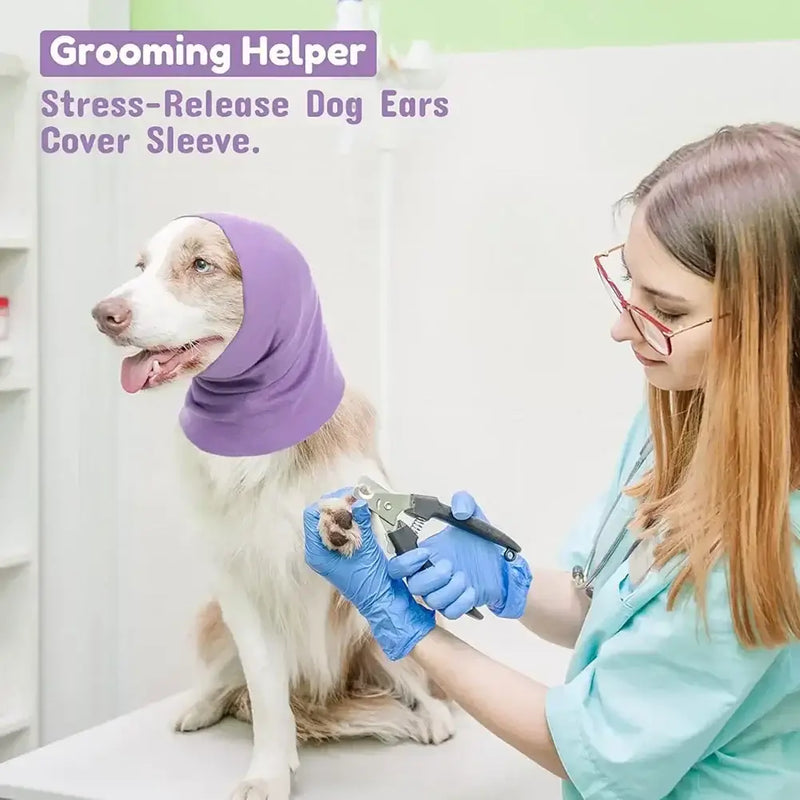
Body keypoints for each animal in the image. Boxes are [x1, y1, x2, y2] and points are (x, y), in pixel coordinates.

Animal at [90, 214, 454, 800]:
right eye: (141, 266)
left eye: (200, 264)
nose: (103, 314)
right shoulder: (238, 585)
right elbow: (264, 692)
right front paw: (268, 771)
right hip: (212, 617)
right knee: (229, 678)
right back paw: (201, 706)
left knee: (409, 669)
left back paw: (432, 714)